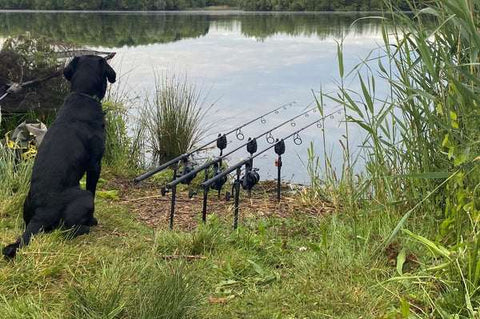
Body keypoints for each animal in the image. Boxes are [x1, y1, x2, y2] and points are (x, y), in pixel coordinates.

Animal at [2, 55, 116, 260]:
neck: (82, 95)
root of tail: (41, 214)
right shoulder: (95, 164)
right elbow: (93, 186)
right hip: (84, 196)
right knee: (67, 229)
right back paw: (88, 225)